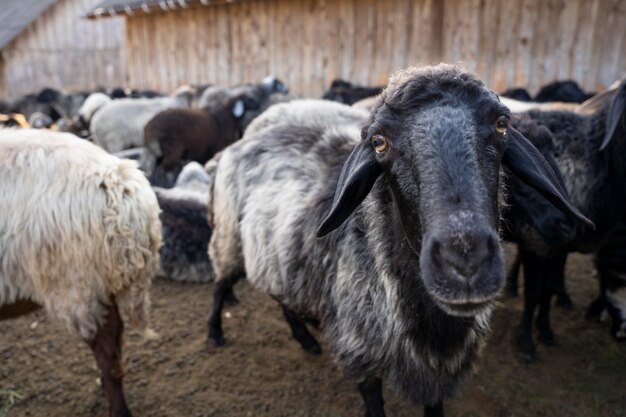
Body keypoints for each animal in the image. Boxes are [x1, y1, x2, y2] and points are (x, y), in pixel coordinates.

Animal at [206, 65, 588, 416]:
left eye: (501, 124)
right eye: (379, 141)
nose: (466, 259)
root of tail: (237, 145)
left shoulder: (437, 373)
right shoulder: (360, 350)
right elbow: (375, 405)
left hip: (277, 253)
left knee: (280, 294)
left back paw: (305, 339)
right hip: (228, 239)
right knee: (221, 284)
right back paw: (214, 333)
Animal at [504, 76, 624, 360]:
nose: (564, 222)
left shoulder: (554, 243)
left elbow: (547, 287)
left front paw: (545, 330)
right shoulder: (539, 243)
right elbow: (535, 292)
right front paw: (526, 341)